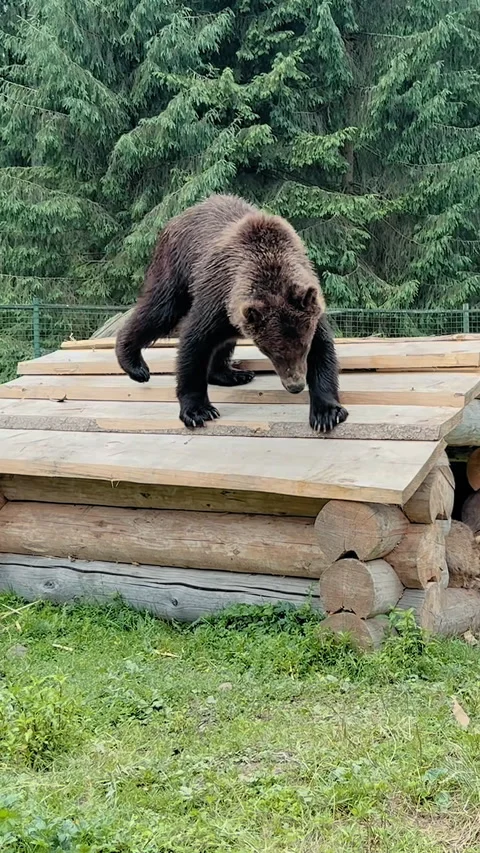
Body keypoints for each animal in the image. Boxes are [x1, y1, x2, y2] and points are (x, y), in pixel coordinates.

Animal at [115, 194, 348, 432]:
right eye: (272, 352)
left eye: (304, 348)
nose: (295, 385)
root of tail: (180, 215)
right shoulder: (216, 298)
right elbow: (194, 343)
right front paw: (198, 411)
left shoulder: (309, 309)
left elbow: (323, 351)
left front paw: (326, 413)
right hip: (176, 266)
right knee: (160, 310)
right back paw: (135, 365)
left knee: (221, 340)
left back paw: (233, 374)